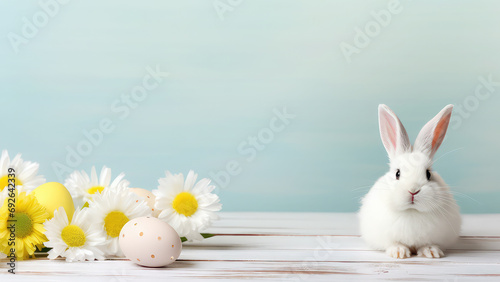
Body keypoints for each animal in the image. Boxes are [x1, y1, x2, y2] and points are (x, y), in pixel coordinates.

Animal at [360, 104, 460, 258]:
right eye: (397, 173)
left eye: (428, 174)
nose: (413, 190)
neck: (412, 211)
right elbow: (394, 243)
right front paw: (399, 252)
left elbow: (428, 243)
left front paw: (431, 252)